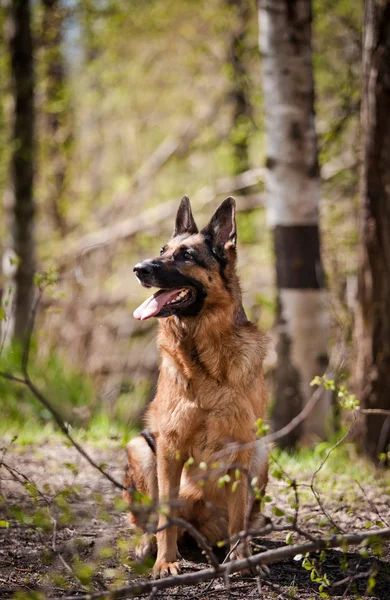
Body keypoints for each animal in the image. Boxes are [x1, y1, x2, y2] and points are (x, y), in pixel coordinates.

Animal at [125, 197, 268, 576]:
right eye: (163, 250)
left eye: (186, 255)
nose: (138, 268)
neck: (205, 356)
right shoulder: (169, 448)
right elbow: (166, 515)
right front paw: (166, 562)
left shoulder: (242, 449)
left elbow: (238, 515)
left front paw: (241, 559)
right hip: (141, 449)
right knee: (149, 521)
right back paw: (147, 547)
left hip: (262, 455)